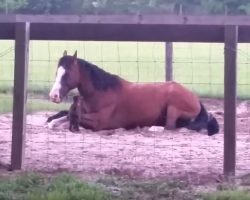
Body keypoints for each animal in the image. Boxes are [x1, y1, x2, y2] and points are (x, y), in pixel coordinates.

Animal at [46, 50, 219, 136]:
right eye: (56, 72)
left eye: (67, 73)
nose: (53, 96)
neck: (101, 92)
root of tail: (196, 99)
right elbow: (68, 115)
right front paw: (52, 122)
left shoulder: (98, 123)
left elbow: (74, 118)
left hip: (173, 107)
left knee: (171, 127)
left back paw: (152, 128)